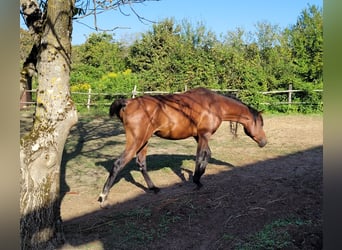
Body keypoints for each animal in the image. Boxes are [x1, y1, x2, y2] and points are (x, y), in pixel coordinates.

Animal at [97, 87, 266, 206]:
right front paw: (197, 180)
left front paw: (198, 178)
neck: (214, 105)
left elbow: (207, 155)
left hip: (143, 142)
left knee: (141, 163)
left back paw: (154, 188)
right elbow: (201, 156)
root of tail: (128, 103)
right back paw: (103, 196)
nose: (264, 142)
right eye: (261, 123)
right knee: (119, 163)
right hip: (136, 141)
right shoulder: (204, 135)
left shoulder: (199, 137)